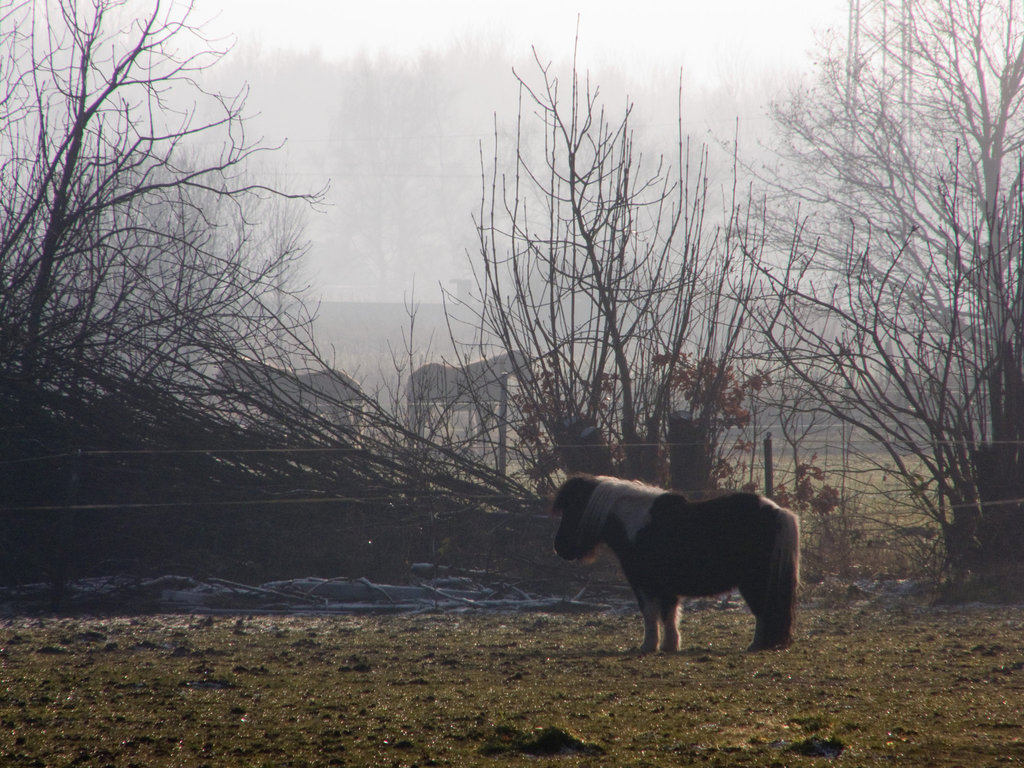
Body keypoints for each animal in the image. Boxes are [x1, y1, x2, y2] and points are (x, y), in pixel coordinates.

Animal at [552, 479, 798, 651]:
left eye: (572, 510)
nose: (559, 548)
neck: (638, 524)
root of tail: (776, 511)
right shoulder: (666, 588)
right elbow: (669, 614)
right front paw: (669, 645)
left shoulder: (644, 584)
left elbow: (651, 613)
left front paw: (649, 646)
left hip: (754, 581)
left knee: (762, 611)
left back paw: (756, 645)